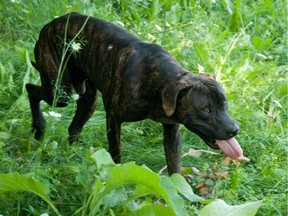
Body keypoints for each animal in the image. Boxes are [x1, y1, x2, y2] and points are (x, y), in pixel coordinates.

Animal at [25, 12, 243, 176]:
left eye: (225, 104)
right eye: (205, 109)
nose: (235, 130)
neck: (159, 84)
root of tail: (51, 23)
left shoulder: (172, 131)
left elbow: (174, 166)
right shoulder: (113, 121)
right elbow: (116, 154)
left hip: (86, 98)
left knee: (73, 128)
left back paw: (72, 156)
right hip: (60, 92)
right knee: (30, 88)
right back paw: (39, 127)